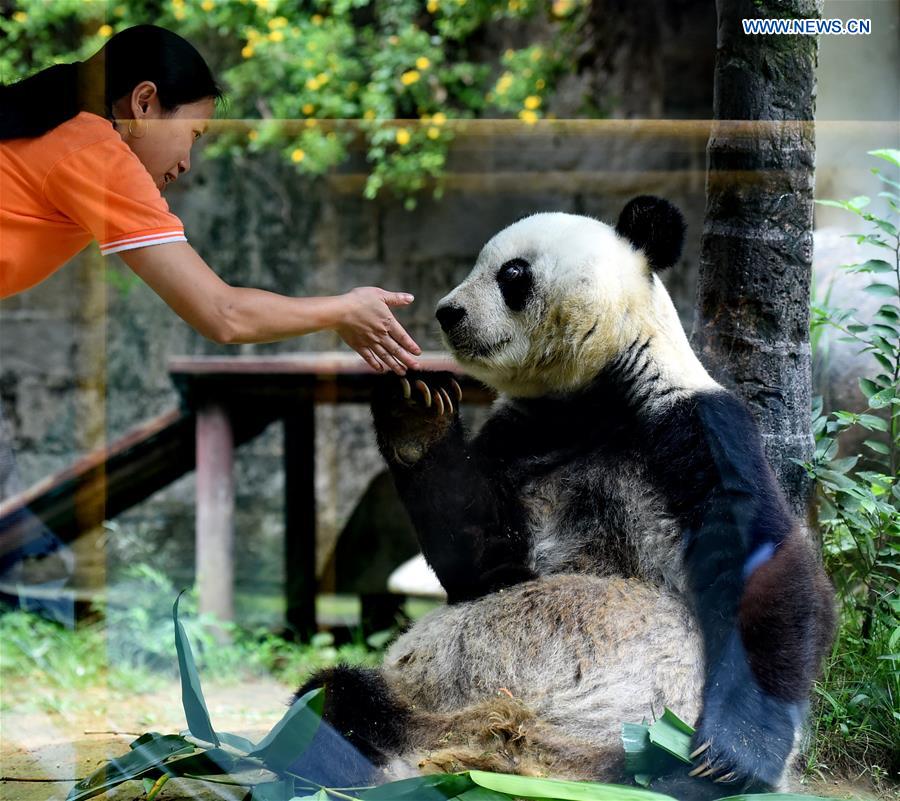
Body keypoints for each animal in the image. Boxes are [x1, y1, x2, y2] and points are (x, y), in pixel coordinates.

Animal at [298, 195, 836, 792]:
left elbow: (763, 566)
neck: (588, 398)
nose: (446, 313)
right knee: (336, 699)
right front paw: (414, 409)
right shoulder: (520, 437)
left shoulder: (698, 427)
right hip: (421, 704)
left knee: (674, 779)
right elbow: (484, 568)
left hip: (637, 740)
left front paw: (733, 753)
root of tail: (508, 748)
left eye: (511, 273)